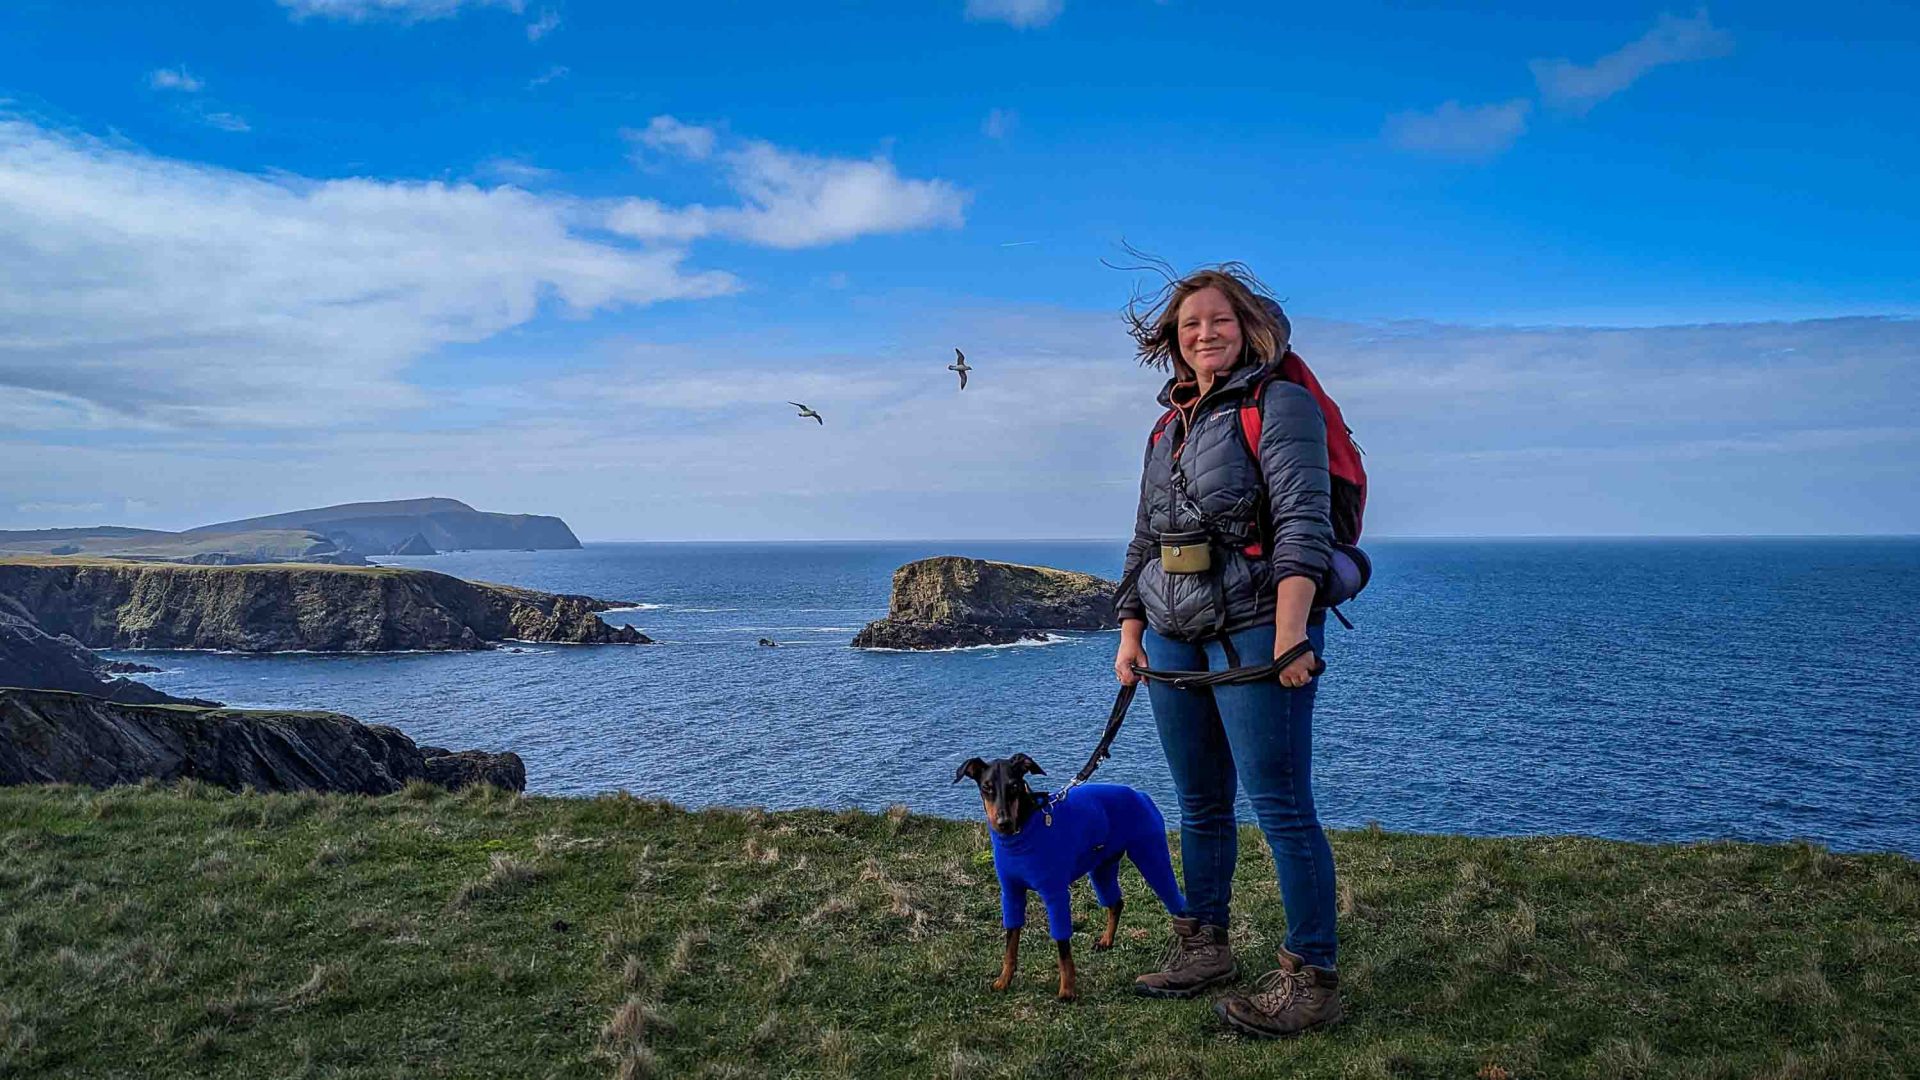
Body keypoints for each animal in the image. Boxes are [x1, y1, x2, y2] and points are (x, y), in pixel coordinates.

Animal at [956, 753, 1190, 999]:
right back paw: (1106, 940)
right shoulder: (1011, 894)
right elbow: (1011, 944)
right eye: (987, 787)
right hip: (1102, 868)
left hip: (1151, 856)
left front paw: (1067, 990)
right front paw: (1003, 981)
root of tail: (1140, 794)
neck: (1023, 828)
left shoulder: (1055, 894)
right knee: (1116, 902)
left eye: (1014, 787)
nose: (1003, 823)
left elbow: (1062, 947)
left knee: (1176, 902)